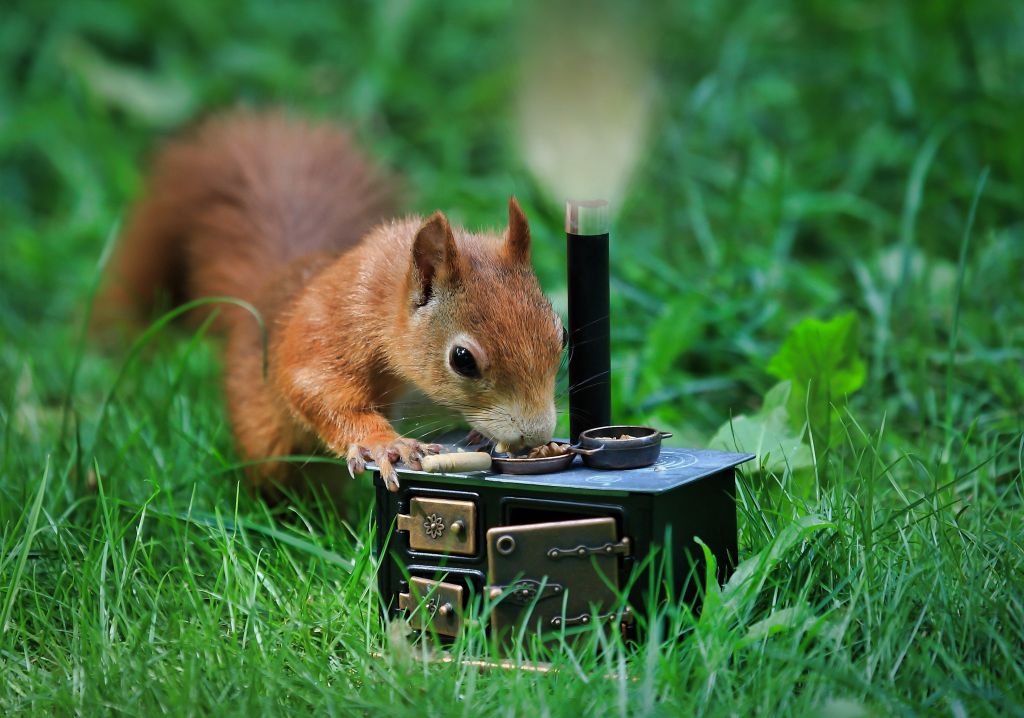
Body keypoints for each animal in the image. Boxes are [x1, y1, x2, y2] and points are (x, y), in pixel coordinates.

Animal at [105, 110, 561, 493]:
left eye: (561, 333)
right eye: (462, 360)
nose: (537, 435)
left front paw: (481, 433)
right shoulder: (334, 327)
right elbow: (315, 390)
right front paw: (383, 443)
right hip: (263, 433)